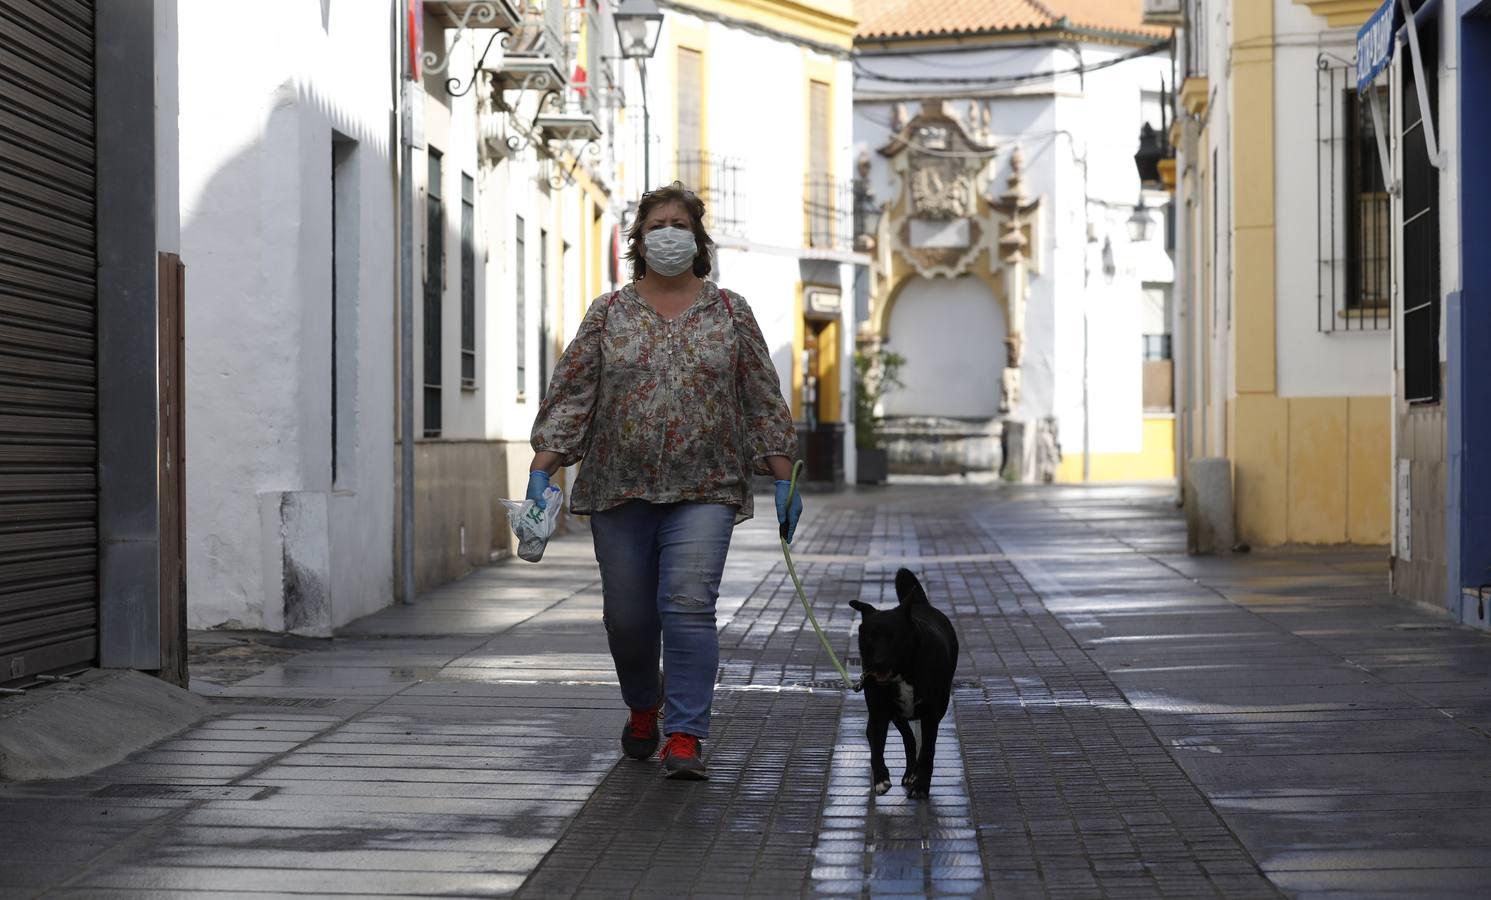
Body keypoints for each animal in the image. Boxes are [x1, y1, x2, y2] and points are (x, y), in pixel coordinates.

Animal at [852, 566, 954, 798]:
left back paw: (914, 776)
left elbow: (927, 752)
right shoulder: (879, 712)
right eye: (869, 637)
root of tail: (919, 604)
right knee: (908, 739)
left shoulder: (931, 715)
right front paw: (880, 779)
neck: (903, 673)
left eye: (893, 637)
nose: (878, 664)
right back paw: (909, 773)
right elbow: (876, 746)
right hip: (897, 715)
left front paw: (921, 786)